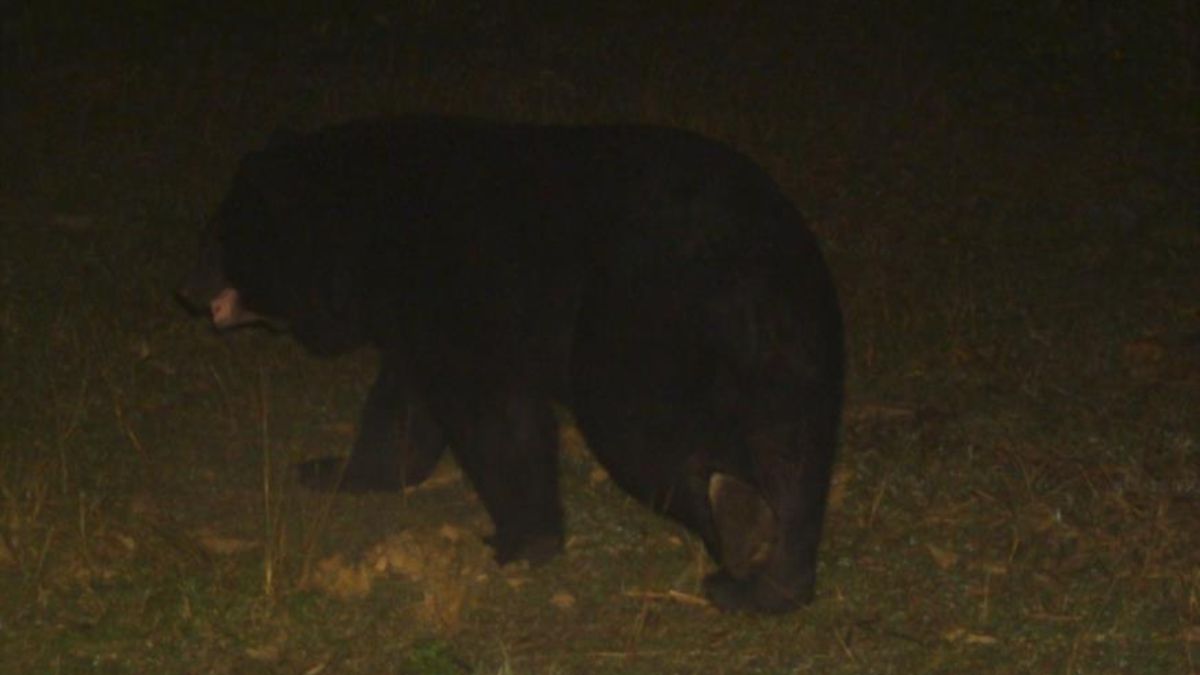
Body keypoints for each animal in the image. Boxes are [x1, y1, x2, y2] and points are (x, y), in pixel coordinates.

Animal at [178, 116, 844, 613]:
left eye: (214, 237)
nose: (184, 289)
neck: (369, 233)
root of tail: (759, 253)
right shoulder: (414, 314)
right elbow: (403, 407)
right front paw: (332, 468)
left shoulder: (465, 284)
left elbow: (493, 412)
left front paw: (522, 538)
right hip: (798, 347)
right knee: (794, 454)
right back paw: (770, 580)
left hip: (637, 316)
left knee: (645, 430)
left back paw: (740, 523)